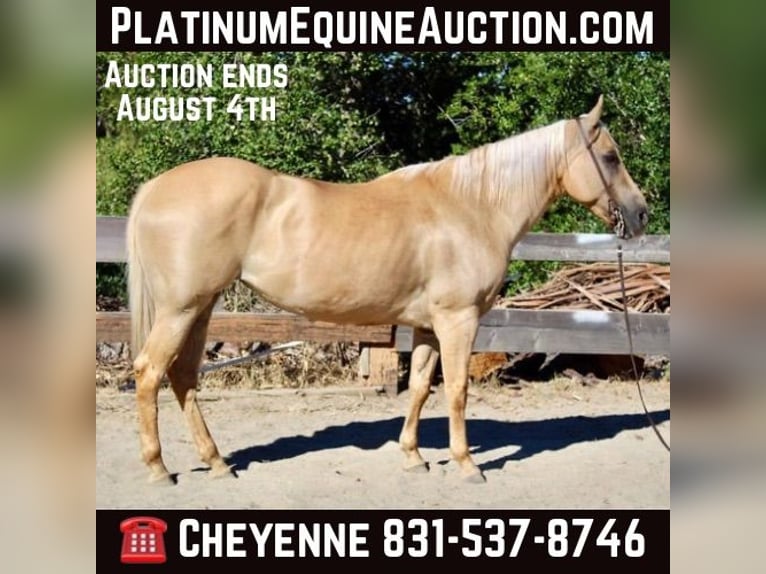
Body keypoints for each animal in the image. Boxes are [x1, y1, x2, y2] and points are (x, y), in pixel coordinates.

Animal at [126, 95, 648, 485]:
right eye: (610, 157)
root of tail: (153, 188)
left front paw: (413, 457)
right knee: (151, 372)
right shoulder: (459, 320)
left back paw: (216, 463)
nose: (640, 214)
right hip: (180, 309)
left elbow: (418, 387)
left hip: (200, 308)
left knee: (183, 377)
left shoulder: (428, 326)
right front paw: (467, 464)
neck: (473, 206)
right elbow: (456, 389)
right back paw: (159, 469)